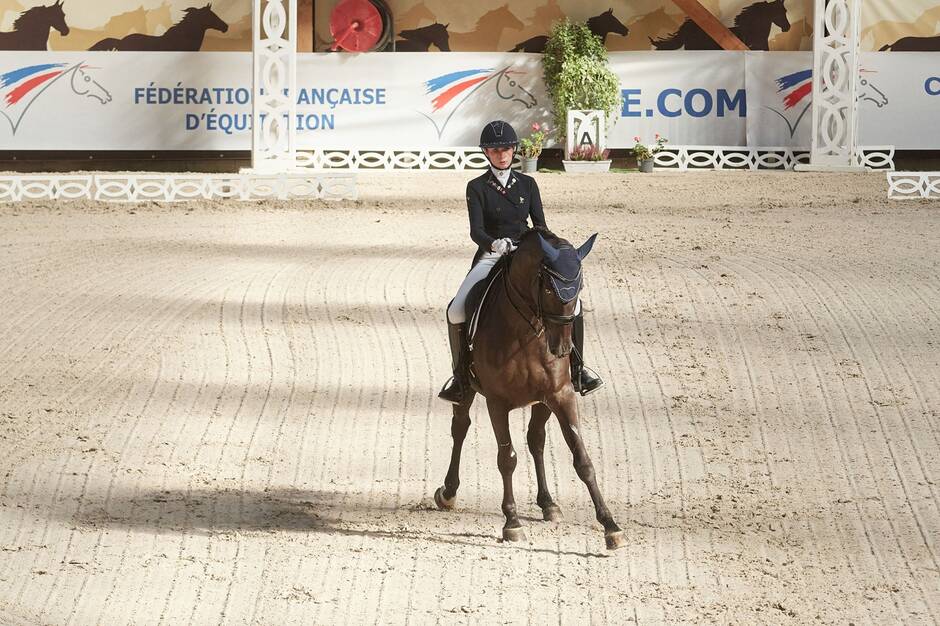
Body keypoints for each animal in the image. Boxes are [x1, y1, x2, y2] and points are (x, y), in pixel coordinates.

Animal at [436, 227, 628, 548]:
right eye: (549, 289)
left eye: (579, 288)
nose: (562, 349)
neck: (527, 332)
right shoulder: (497, 402)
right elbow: (507, 458)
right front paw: (512, 523)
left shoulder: (560, 395)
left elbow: (582, 459)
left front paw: (611, 526)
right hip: (468, 390)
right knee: (460, 428)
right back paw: (448, 492)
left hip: (542, 403)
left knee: (536, 439)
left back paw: (548, 503)